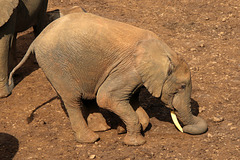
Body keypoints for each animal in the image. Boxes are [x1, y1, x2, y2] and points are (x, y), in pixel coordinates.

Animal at [9, 12, 207, 145]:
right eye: (182, 86)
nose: (186, 128)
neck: (166, 51)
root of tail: (37, 39)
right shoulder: (129, 70)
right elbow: (107, 98)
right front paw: (134, 142)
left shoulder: (135, 76)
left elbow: (131, 100)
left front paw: (123, 129)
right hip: (55, 64)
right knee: (72, 100)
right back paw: (91, 139)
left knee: (88, 95)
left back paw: (102, 128)